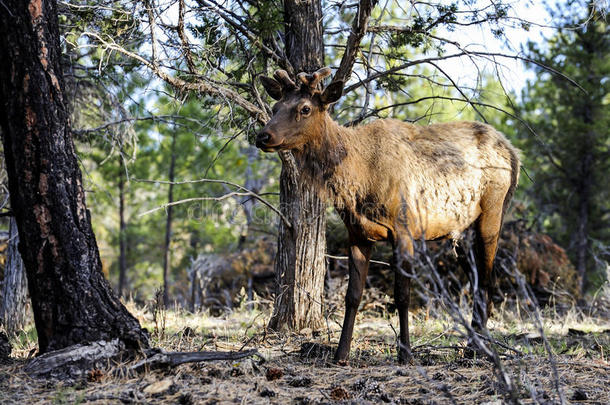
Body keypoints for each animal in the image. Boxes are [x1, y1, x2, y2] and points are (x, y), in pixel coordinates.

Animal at [255, 67, 516, 362]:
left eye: (305, 108)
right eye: (275, 107)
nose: (263, 136)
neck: (359, 177)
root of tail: (513, 151)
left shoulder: (405, 228)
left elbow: (402, 295)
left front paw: (406, 354)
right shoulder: (357, 234)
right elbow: (352, 295)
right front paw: (341, 354)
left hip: (492, 212)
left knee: (487, 279)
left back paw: (480, 348)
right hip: (461, 230)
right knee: (477, 280)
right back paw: (473, 343)